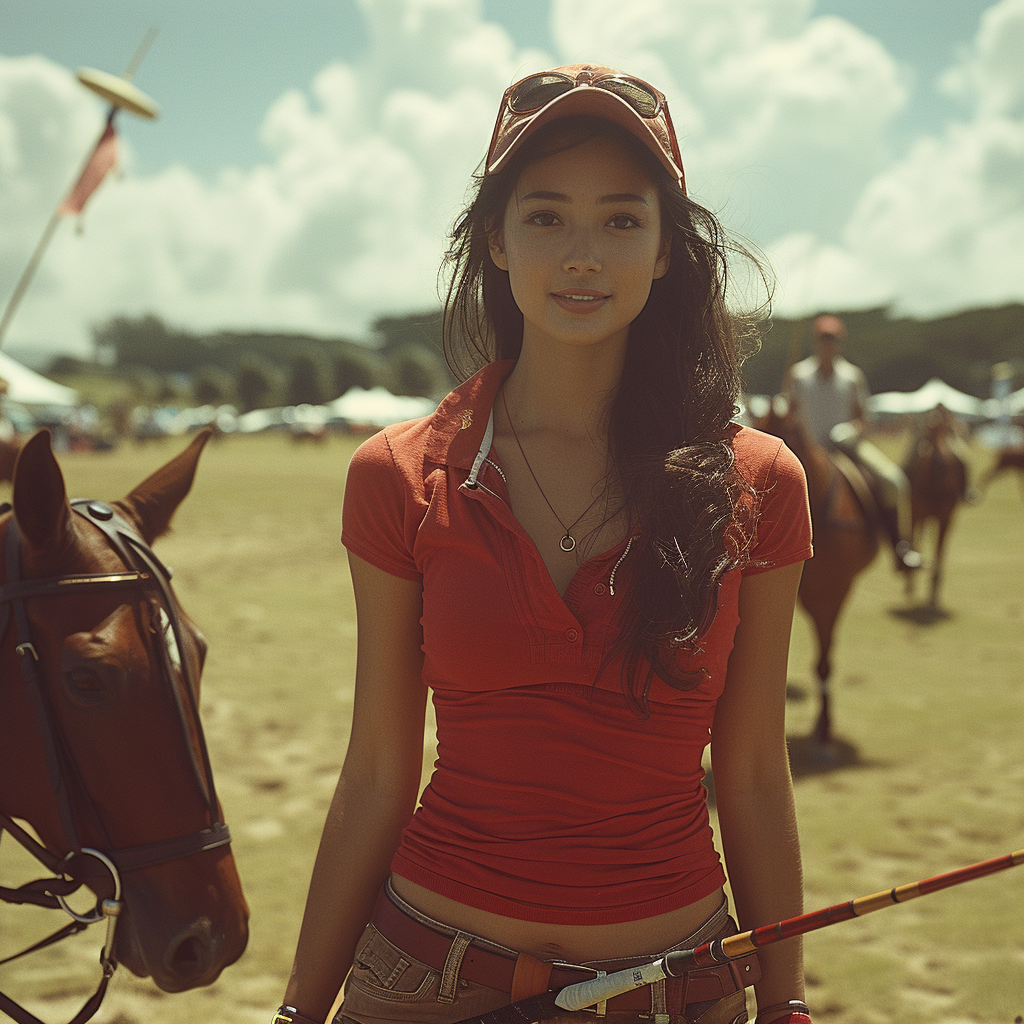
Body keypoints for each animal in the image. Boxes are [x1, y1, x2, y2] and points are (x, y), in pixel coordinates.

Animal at [909, 407, 962, 606]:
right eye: (928, 435)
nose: (940, 463)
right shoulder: (919, 513)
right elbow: (917, 542)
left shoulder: (945, 519)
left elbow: (940, 551)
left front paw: (934, 592)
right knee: (916, 538)